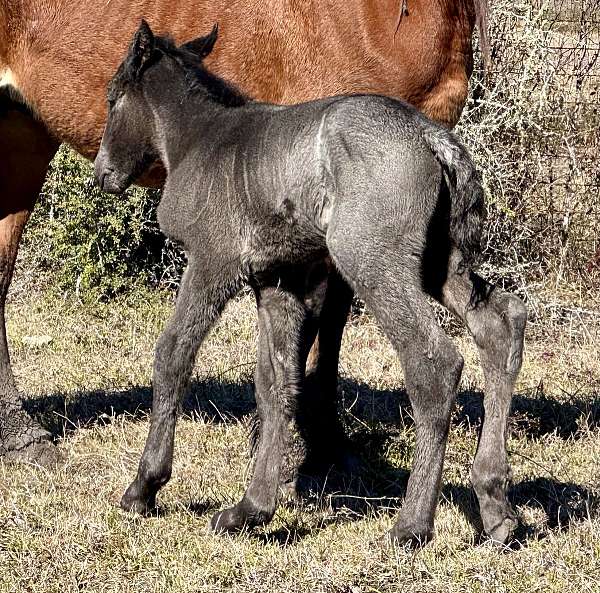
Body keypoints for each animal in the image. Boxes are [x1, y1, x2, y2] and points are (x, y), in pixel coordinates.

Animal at [0, 0, 524, 544]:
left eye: (112, 97)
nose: (104, 174)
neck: (199, 141)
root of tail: (432, 137)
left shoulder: (211, 263)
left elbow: (173, 354)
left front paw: (145, 486)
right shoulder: (276, 279)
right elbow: (275, 381)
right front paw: (250, 509)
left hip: (373, 262)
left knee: (434, 361)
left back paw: (413, 523)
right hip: (438, 263)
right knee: (501, 321)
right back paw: (496, 506)